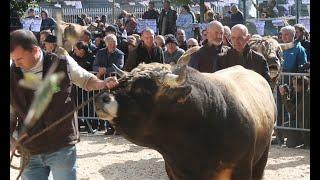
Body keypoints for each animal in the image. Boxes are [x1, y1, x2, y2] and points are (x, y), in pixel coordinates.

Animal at [94, 62, 276, 179]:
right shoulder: (174, 171)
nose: (102, 98)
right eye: (119, 82)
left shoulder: (242, 169)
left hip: (262, 157)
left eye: (142, 88)